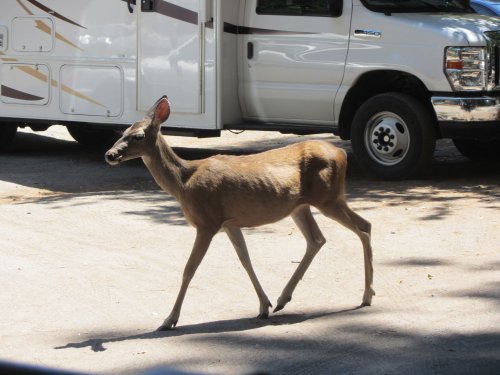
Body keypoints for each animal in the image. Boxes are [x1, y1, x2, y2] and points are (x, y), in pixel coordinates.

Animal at [103, 95, 374, 330]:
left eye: (138, 135)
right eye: (122, 131)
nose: (109, 154)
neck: (184, 183)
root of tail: (341, 153)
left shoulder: (207, 222)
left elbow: (189, 269)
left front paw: (169, 320)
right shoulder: (229, 223)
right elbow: (245, 260)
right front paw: (263, 306)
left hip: (328, 199)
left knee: (363, 227)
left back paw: (367, 295)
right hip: (301, 206)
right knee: (318, 238)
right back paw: (283, 299)